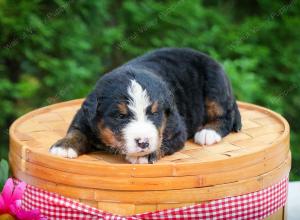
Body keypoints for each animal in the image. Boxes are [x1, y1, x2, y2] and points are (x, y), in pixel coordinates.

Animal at [49, 47, 241, 163]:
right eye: (121, 116)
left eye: (154, 114)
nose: (143, 143)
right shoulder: (84, 117)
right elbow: (76, 131)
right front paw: (64, 146)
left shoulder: (177, 130)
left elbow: (162, 141)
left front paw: (147, 154)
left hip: (215, 85)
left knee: (226, 115)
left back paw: (208, 132)